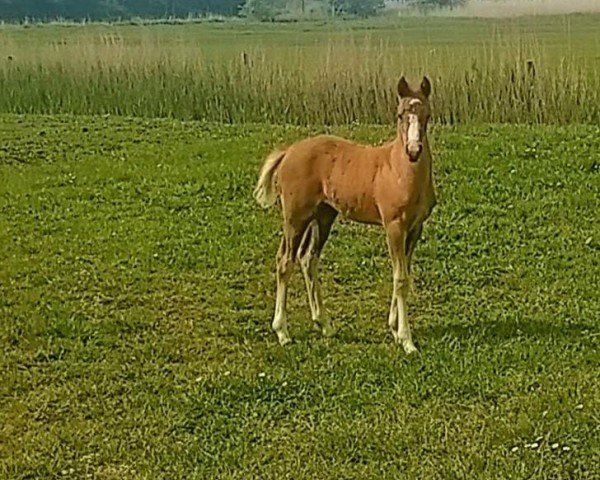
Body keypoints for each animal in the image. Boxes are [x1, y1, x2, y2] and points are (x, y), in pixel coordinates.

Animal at [253, 77, 436, 354]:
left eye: (427, 115)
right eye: (400, 114)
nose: (414, 150)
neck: (400, 170)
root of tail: (289, 151)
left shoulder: (415, 228)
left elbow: (404, 274)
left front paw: (394, 328)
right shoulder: (394, 226)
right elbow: (401, 279)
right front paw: (407, 340)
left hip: (324, 215)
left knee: (308, 258)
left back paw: (324, 324)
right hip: (295, 216)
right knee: (285, 261)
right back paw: (283, 332)